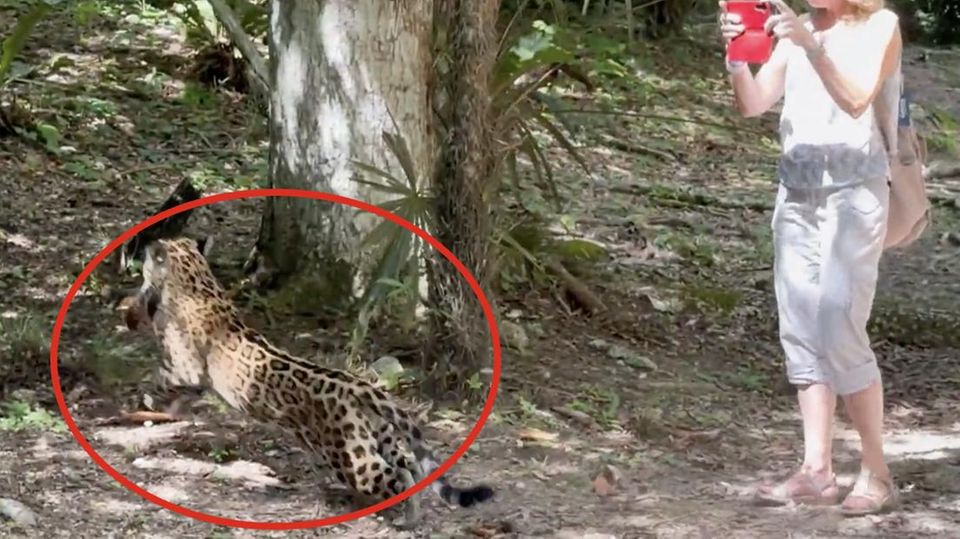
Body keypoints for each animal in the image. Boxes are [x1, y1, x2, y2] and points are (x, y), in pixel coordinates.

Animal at [123, 237, 494, 527]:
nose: (139, 271)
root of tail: (363, 387)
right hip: (379, 437)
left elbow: (162, 377)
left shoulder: (184, 367)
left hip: (349, 455)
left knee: (393, 476)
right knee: (410, 466)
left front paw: (150, 399)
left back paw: (406, 518)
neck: (197, 280)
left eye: (146, 266)